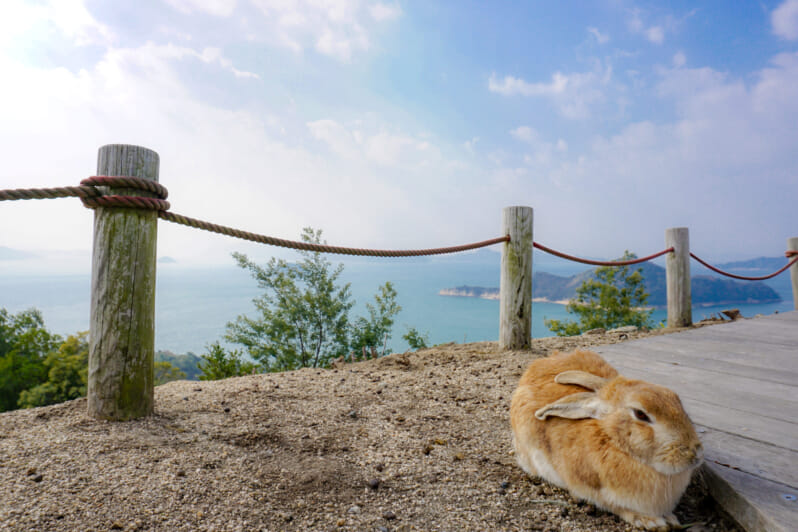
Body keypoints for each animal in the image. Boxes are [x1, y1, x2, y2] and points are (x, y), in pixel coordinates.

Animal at [512, 350, 708, 532]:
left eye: (675, 399)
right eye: (640, 414)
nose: (696, 453)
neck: (613, 440)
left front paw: (671, 519)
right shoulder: (590, 489)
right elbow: (617, 507)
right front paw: (652, 521)